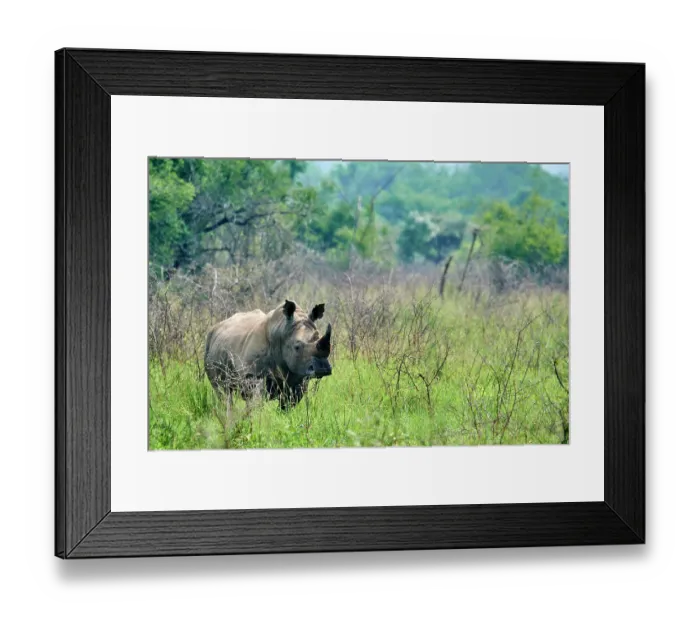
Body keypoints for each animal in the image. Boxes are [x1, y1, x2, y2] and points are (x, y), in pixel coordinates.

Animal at [204, 299, 332, 413]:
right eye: (297, 347)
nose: (323, 369)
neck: (282, 331)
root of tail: (216, 326)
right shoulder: (252, 374)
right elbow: (255, 402)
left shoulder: (298, 377)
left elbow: (288, 405)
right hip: (210, 345)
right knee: (223, 392)